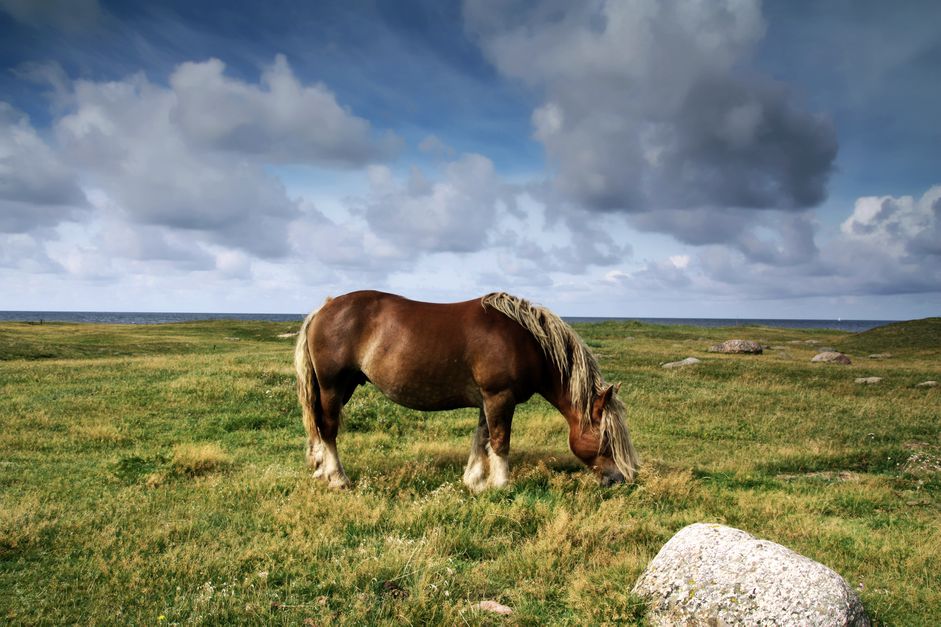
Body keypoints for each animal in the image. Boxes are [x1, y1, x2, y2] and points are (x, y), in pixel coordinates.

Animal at [294, 292, 640, 494]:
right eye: (607, 439)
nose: (622, 479)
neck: (526, 341)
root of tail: (324, 308)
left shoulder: (488, 400)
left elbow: (481, 438)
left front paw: (474, 480)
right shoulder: (499, 397)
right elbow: (499, 442)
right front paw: (500, 485)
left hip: (345, 386)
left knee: (320, 427)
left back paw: (321, 470)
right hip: (333, 386)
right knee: (328, 429)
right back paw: (337, 477)